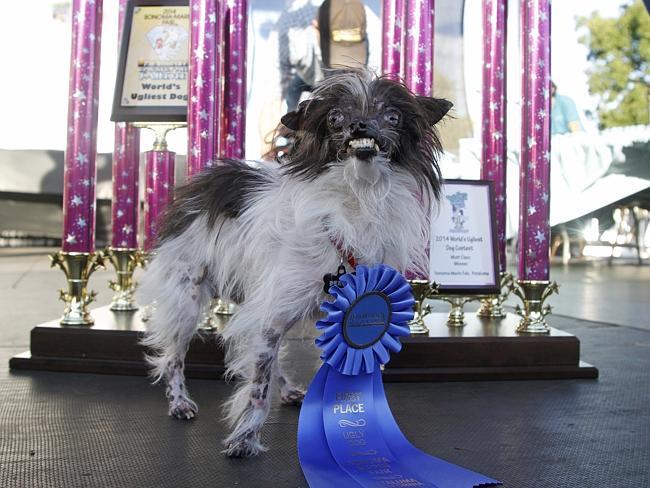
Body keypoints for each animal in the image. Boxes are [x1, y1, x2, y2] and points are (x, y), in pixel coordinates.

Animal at [139, 68, 448, 458]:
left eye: (392, 117)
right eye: (335, 118)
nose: (360, 125)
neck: (357, 198)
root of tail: (200, 185)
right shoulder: (269, 316)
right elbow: (257, 387)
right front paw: (245, 438)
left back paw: (286, 389)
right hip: (187, 300)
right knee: (174, 357)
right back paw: (179, 401)